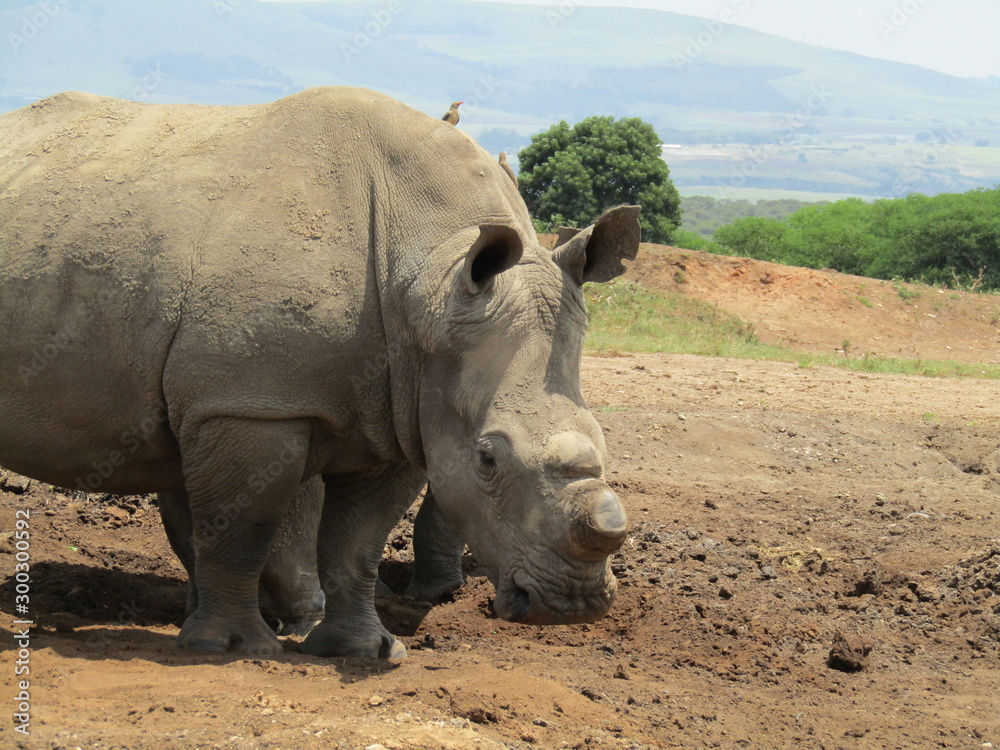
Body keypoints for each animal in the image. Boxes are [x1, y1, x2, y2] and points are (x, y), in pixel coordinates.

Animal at [0, 87, 639, 659]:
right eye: (488, 459)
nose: (573, 605)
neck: (430, 280)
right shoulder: (251, 402)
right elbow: (243, 529)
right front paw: (231, 648)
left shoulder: (403, 411)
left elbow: (357, 544)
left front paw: (364, 651)